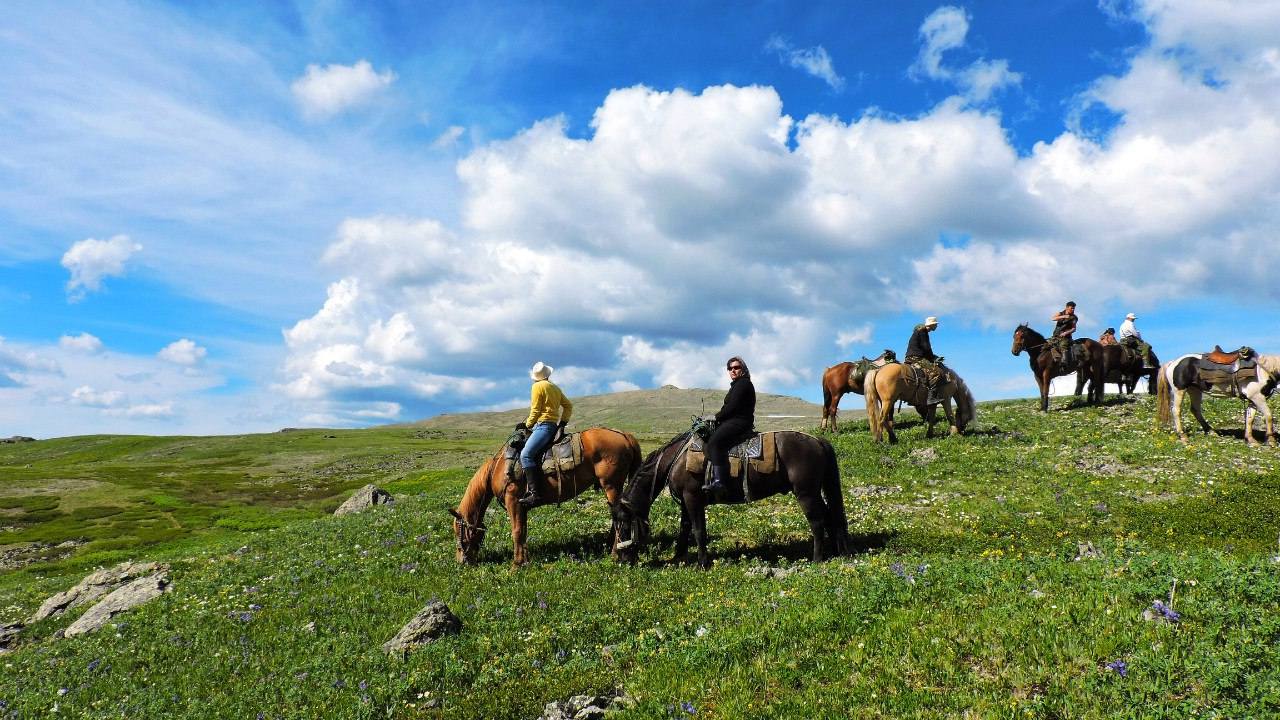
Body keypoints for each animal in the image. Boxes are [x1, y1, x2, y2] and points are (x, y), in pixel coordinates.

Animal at [453, 422, 650, 563]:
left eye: (458, 531)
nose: (461, 561)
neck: (499, 467)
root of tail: (625, 436)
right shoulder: (521, 506)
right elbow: (523, 531)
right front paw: (525, 560)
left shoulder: (513, 501)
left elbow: (516, 531)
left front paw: (516, 565)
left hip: (611, 486)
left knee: (619, 517)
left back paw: (615, 554)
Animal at [611, 427, 844, 568]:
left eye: (624, 524)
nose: (622, 559)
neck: (676, 460)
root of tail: (817, 441)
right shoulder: (686, 503)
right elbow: (684, 529)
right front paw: (678, 558)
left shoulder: (693, 498)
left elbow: (698, 531)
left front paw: (703, 563)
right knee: (830, 517)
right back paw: (835, 552)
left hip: (806, 493)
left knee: (817, 521)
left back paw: (817, 559)